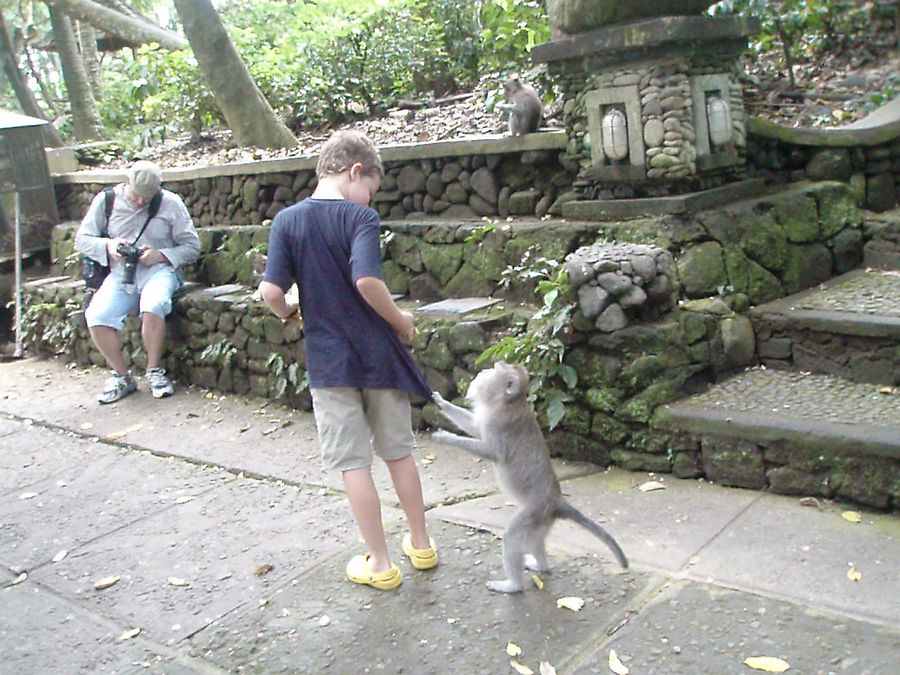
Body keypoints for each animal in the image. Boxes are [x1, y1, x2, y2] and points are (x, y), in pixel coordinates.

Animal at [432, 362, 628, 596]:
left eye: (496, 369)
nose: (483, 370)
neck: (507, 402)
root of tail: (556, 501)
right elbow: (474, 426)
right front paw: (440, 401)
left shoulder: (498, 423)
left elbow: (491, 451)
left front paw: (446, 438)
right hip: (542, 520)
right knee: (537, 541)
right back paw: (540, 565)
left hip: (535, 512)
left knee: (512, 537)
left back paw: (512, 585)